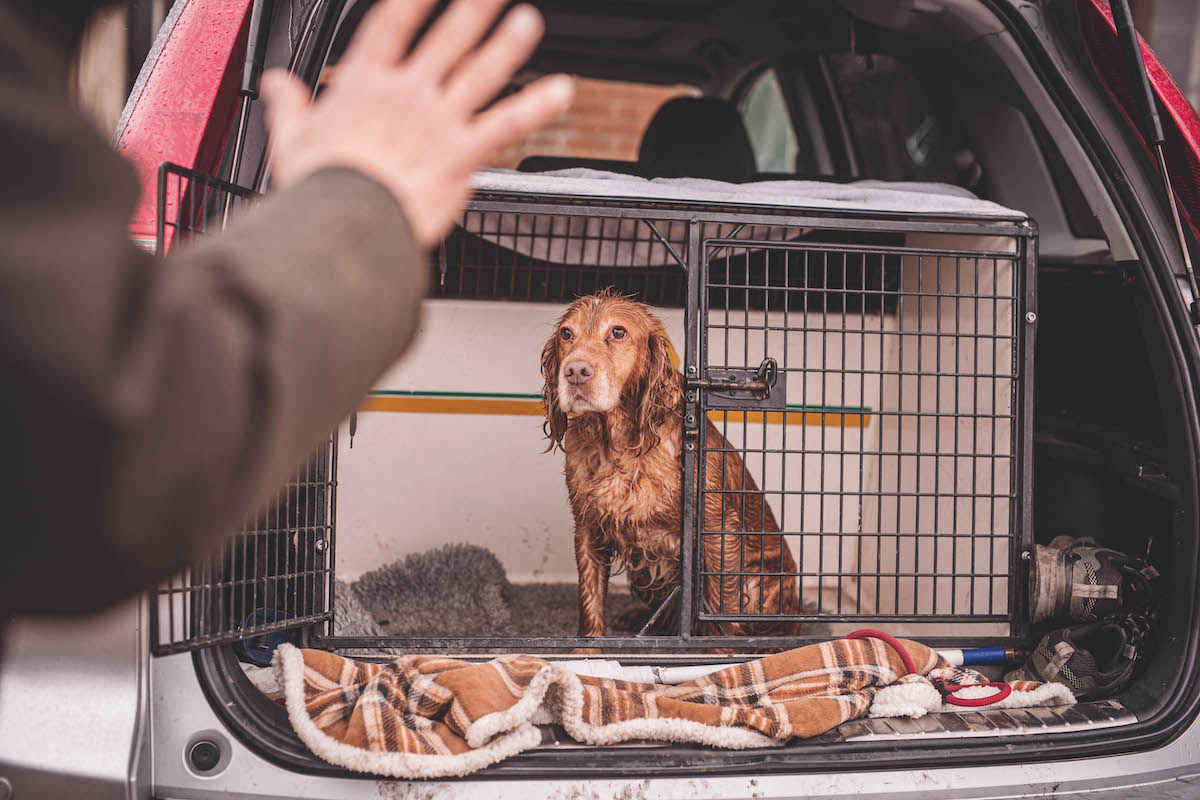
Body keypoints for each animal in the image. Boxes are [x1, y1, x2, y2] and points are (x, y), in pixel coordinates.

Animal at [542, 291, 801, 642]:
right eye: (566, 334)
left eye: (618, 332)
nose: (575, 371)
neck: (618, 445)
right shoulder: (588, 525)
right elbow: (590, 601)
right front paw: (588, 650)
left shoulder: (718, 528)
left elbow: (719, 609)